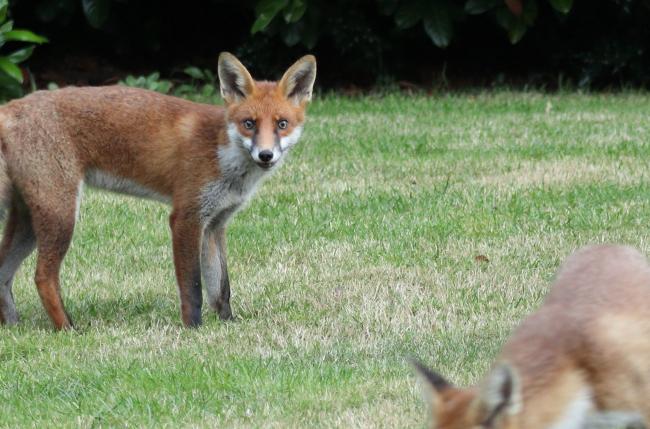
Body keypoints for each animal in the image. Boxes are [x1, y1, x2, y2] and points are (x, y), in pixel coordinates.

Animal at [0, 52, 316, 330]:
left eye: (282, 124)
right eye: (249, 124)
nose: (266, 155)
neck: (223, 153)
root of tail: (12, 106)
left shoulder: (215, 224)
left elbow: (221, 287)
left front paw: (229, 325)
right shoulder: (186, 217)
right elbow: (193, 287)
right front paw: (193, 329)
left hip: (30, 222)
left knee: (4, 274)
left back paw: (14, 326)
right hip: (61, 214)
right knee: (43, 277)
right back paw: (67, 329)